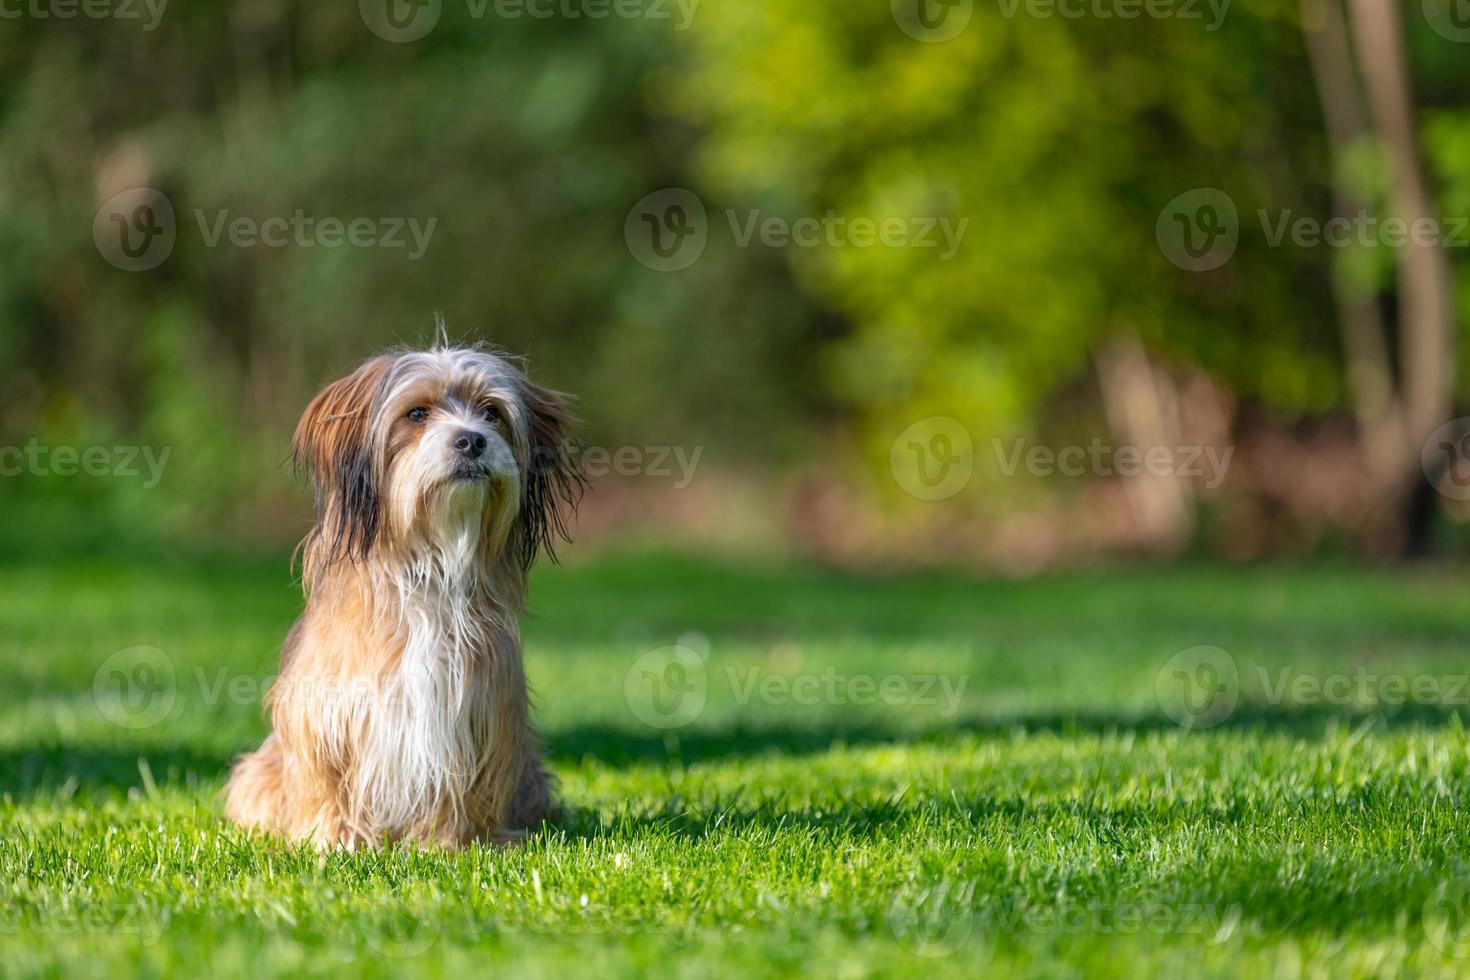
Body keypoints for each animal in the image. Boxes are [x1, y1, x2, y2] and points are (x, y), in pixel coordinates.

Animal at [220, 340, 582, 846]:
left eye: (491, 412)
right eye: (417, 413)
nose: (472, 440)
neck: (428, 566)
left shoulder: (477, 715)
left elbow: (458, 789)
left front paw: (450, 844)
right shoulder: (326, 711)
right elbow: (325, 781)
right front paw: (333, 840)